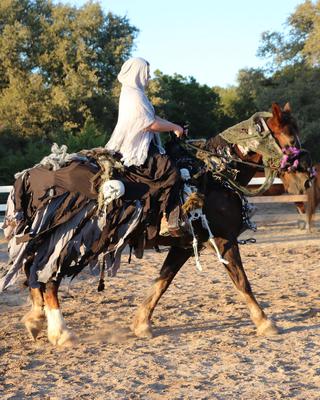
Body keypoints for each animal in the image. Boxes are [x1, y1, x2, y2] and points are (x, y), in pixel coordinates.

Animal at [1, 101, 314, 346]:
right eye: (290, 138)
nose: (308, 175)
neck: (215, 175)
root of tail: (31, 176)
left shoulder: (185, 245)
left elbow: (162, 282)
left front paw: (141, 323)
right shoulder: (224, 239)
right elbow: (242, 282)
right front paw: (265, 322)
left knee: (33, 271)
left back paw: (36, 319)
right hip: (73, 242)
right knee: (48, 277)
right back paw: (60, 332)